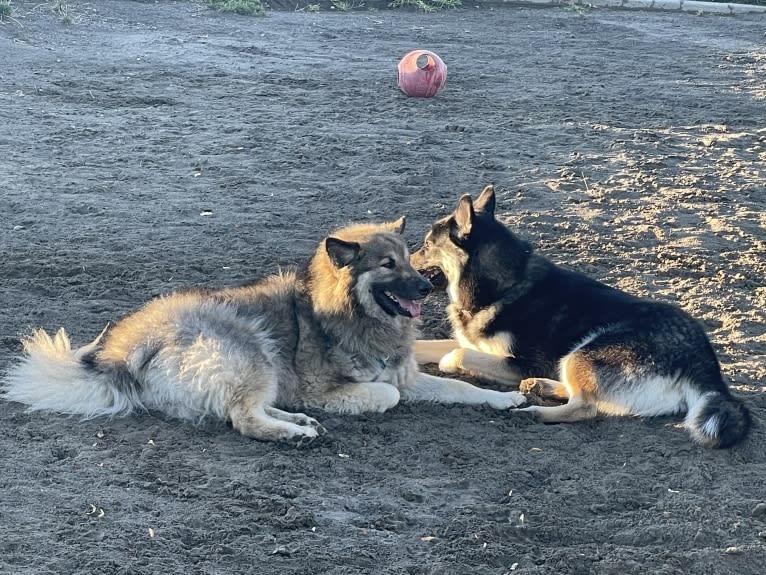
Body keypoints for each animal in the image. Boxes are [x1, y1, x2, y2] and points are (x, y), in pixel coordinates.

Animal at [416, 187, 752, 448]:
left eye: (426, 245)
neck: (503, 283)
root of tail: (705, 366)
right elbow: (429, 346)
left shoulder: (518, 362)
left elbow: (455, 355)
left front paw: (448, 363)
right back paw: (540, 386)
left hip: (584, 351)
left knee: (587, 407)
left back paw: (535, 410)